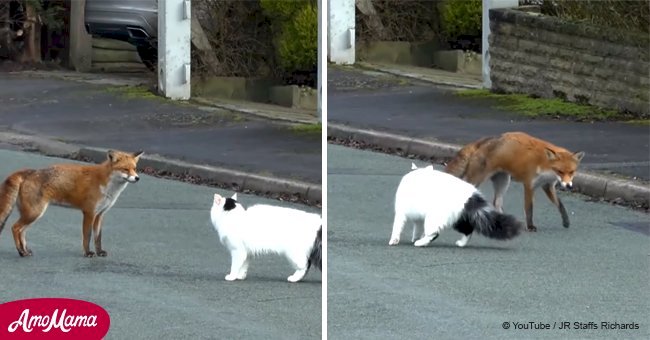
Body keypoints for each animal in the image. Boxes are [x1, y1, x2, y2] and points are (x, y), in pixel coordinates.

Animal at [0, 150, 142, 256]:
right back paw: (21, 252)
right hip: (34, 213)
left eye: (135, 169)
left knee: (22, 231)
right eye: (125, 169)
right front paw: (88, 253)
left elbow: (98, 237)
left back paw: (25, 250)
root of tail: (30, 171)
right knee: (15, 228)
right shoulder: (89, 212)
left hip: (32, 215)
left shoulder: (100, 214)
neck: (108, 186)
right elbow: (87, 236)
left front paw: (99, 252)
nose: (137, 178)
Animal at [388, 164, 524, 247]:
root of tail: (471, 196)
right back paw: (461, 243)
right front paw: (415, 237)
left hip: (436, 216)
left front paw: (394, 239)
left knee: (434, 233)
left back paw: (422, 242)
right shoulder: (418, 216)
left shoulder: (401, 211)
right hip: (458, 218)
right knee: (468, 230)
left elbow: (397, 227)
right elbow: (417, 227)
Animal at [446, 131, 584, 232]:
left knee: (496, 202)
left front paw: (566, 221)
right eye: (560, 171)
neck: (544, 164)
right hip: (476, 179)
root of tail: (485, 140)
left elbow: (560, 205)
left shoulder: (547, 185)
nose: (568, 186)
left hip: (504, 181)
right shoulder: (529, 185)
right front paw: (530, 226)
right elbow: (529, 209)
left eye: (572, 172)